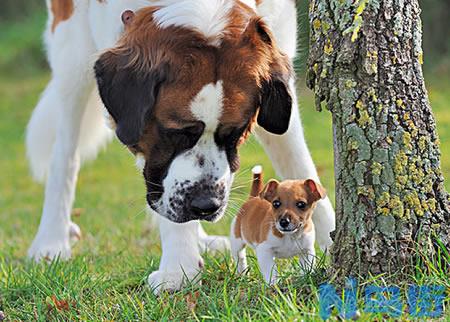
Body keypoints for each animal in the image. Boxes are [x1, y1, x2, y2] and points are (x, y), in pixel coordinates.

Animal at [24, 0, 334, 294]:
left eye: (234, 134)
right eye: (175, 133)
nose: (205, 206)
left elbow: (298, 162)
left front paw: (328, 236)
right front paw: (179, 270)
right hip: (71, 54)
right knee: (65, 152)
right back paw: (51, 240)